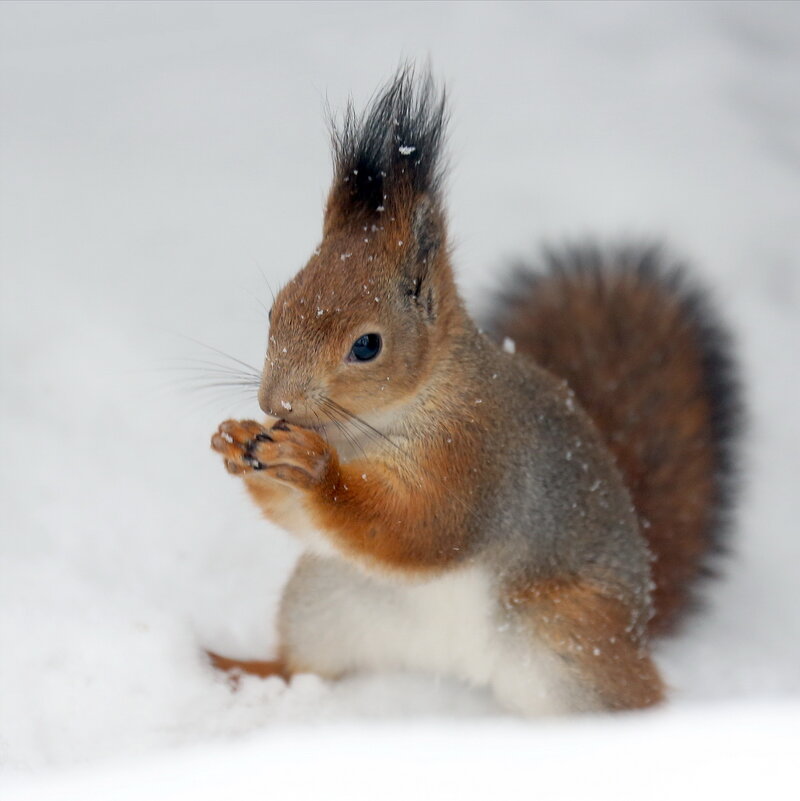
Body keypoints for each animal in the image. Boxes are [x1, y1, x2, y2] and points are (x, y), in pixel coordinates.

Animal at [209, 65, 740, 708]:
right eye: (275, 310)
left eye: (367, 345)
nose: (275, 403)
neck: (375, 426)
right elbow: (300, 519)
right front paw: (237, 440)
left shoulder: (476, 457)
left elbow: (420, 527)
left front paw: (314, 470)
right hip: (326, 598)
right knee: (304, 664)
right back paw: (239, 669)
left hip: (575, 640)